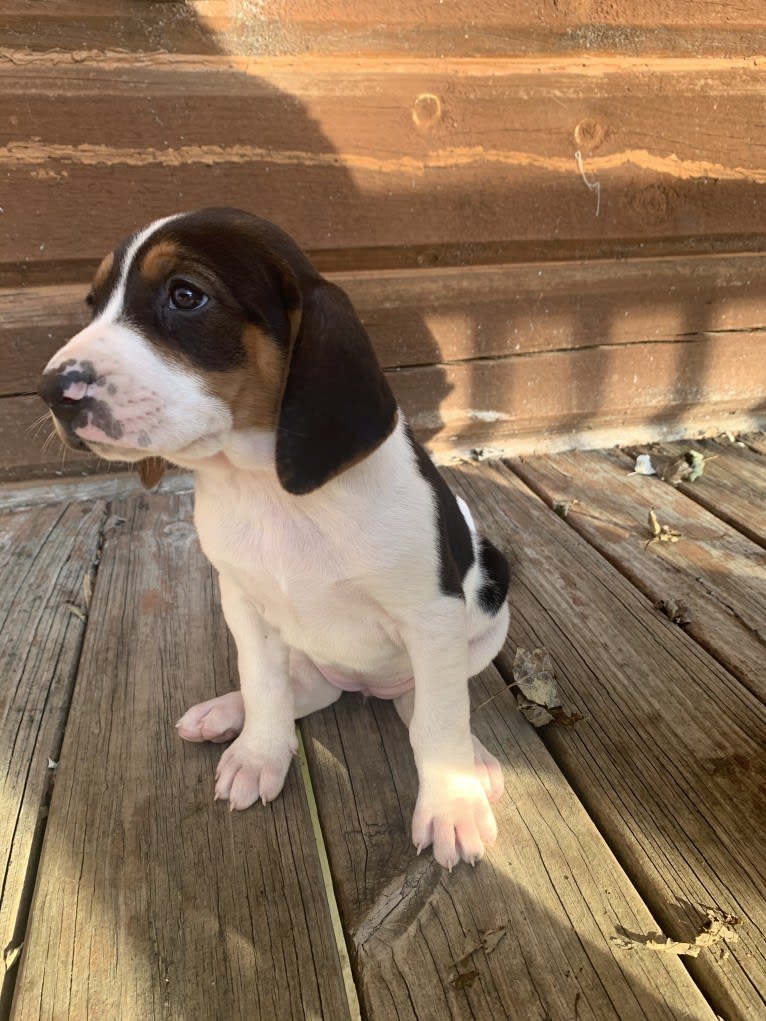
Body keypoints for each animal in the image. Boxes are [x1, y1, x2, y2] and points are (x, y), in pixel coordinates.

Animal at [40, 207, 510, 869]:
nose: (53, 391)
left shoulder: (431, 616)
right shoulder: (244, 603)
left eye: (187, 296)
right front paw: (260, 753)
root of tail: (364, 685)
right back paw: (227, 713)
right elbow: (265, 687)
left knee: (422, 704)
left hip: (487, 608)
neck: (267, 490)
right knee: (301, 691)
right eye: (92, 303)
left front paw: (451, 805)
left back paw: (475, 761)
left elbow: (440, 722)